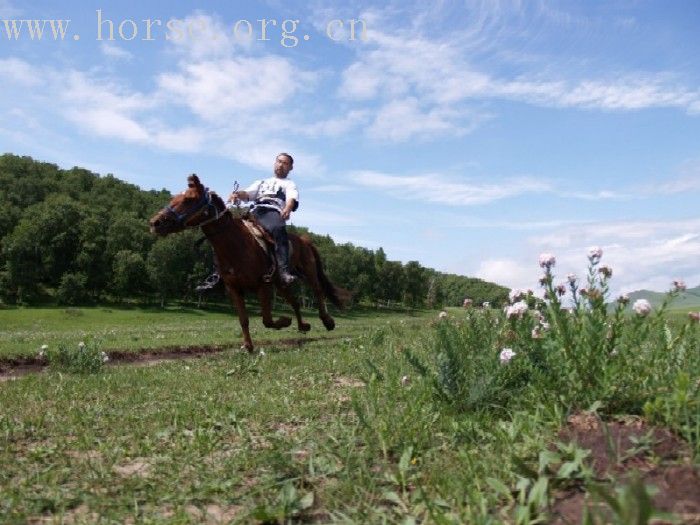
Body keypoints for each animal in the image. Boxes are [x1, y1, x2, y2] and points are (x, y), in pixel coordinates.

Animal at [149, 175, 348, 352]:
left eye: (189, 199)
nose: (155, 222)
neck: (237, 244)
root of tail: (304, 240)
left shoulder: (263, 285)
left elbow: (267, 319)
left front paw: (284, 321)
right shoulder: (234, 288)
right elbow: (244, 319)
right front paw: (248, 346)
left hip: (308, 272)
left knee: (318, 290)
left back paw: (327, 321)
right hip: (281, 283)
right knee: (296, 302)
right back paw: (303, 326)